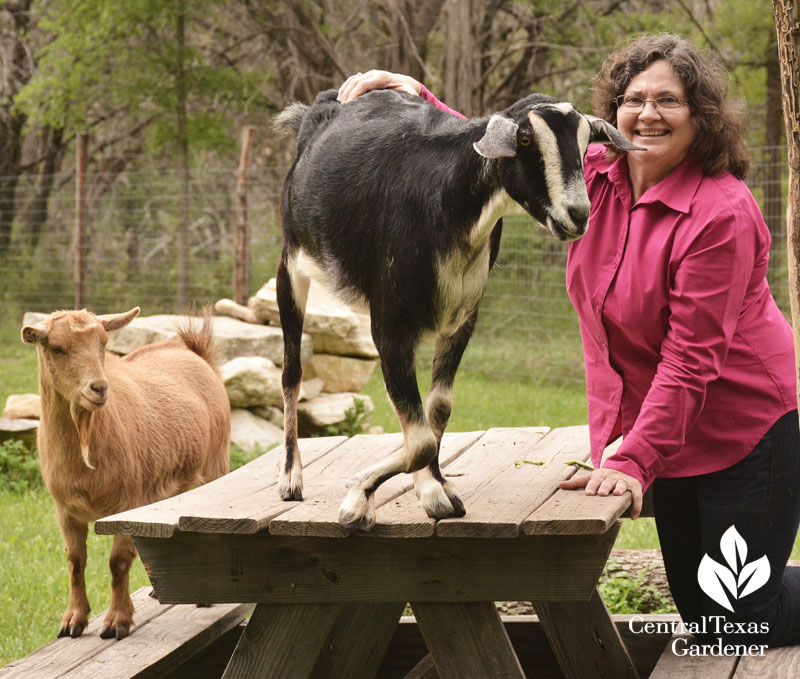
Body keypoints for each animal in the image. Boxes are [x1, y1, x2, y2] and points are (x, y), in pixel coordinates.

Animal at [22, 310, 228, 640]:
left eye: (103, 343)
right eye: (56, 348)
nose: (99, 388)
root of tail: (197, 355)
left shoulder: (128, 503)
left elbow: (117, 562)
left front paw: (116, 622)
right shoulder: (65, 510)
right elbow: (75, 561)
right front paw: (73, 621)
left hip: (214, 467)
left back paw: (205, 596)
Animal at [272, 86, 640, 532]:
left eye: (587, 143)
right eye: (525, 140)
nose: (578, 215)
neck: (447, 207)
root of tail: (318, 110)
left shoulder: (462, 320)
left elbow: (438, 411)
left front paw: (433, 488)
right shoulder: (390, 326)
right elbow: (420, 440)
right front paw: (360, 495)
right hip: (291, 264)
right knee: (292, 372)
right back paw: (290, 478)